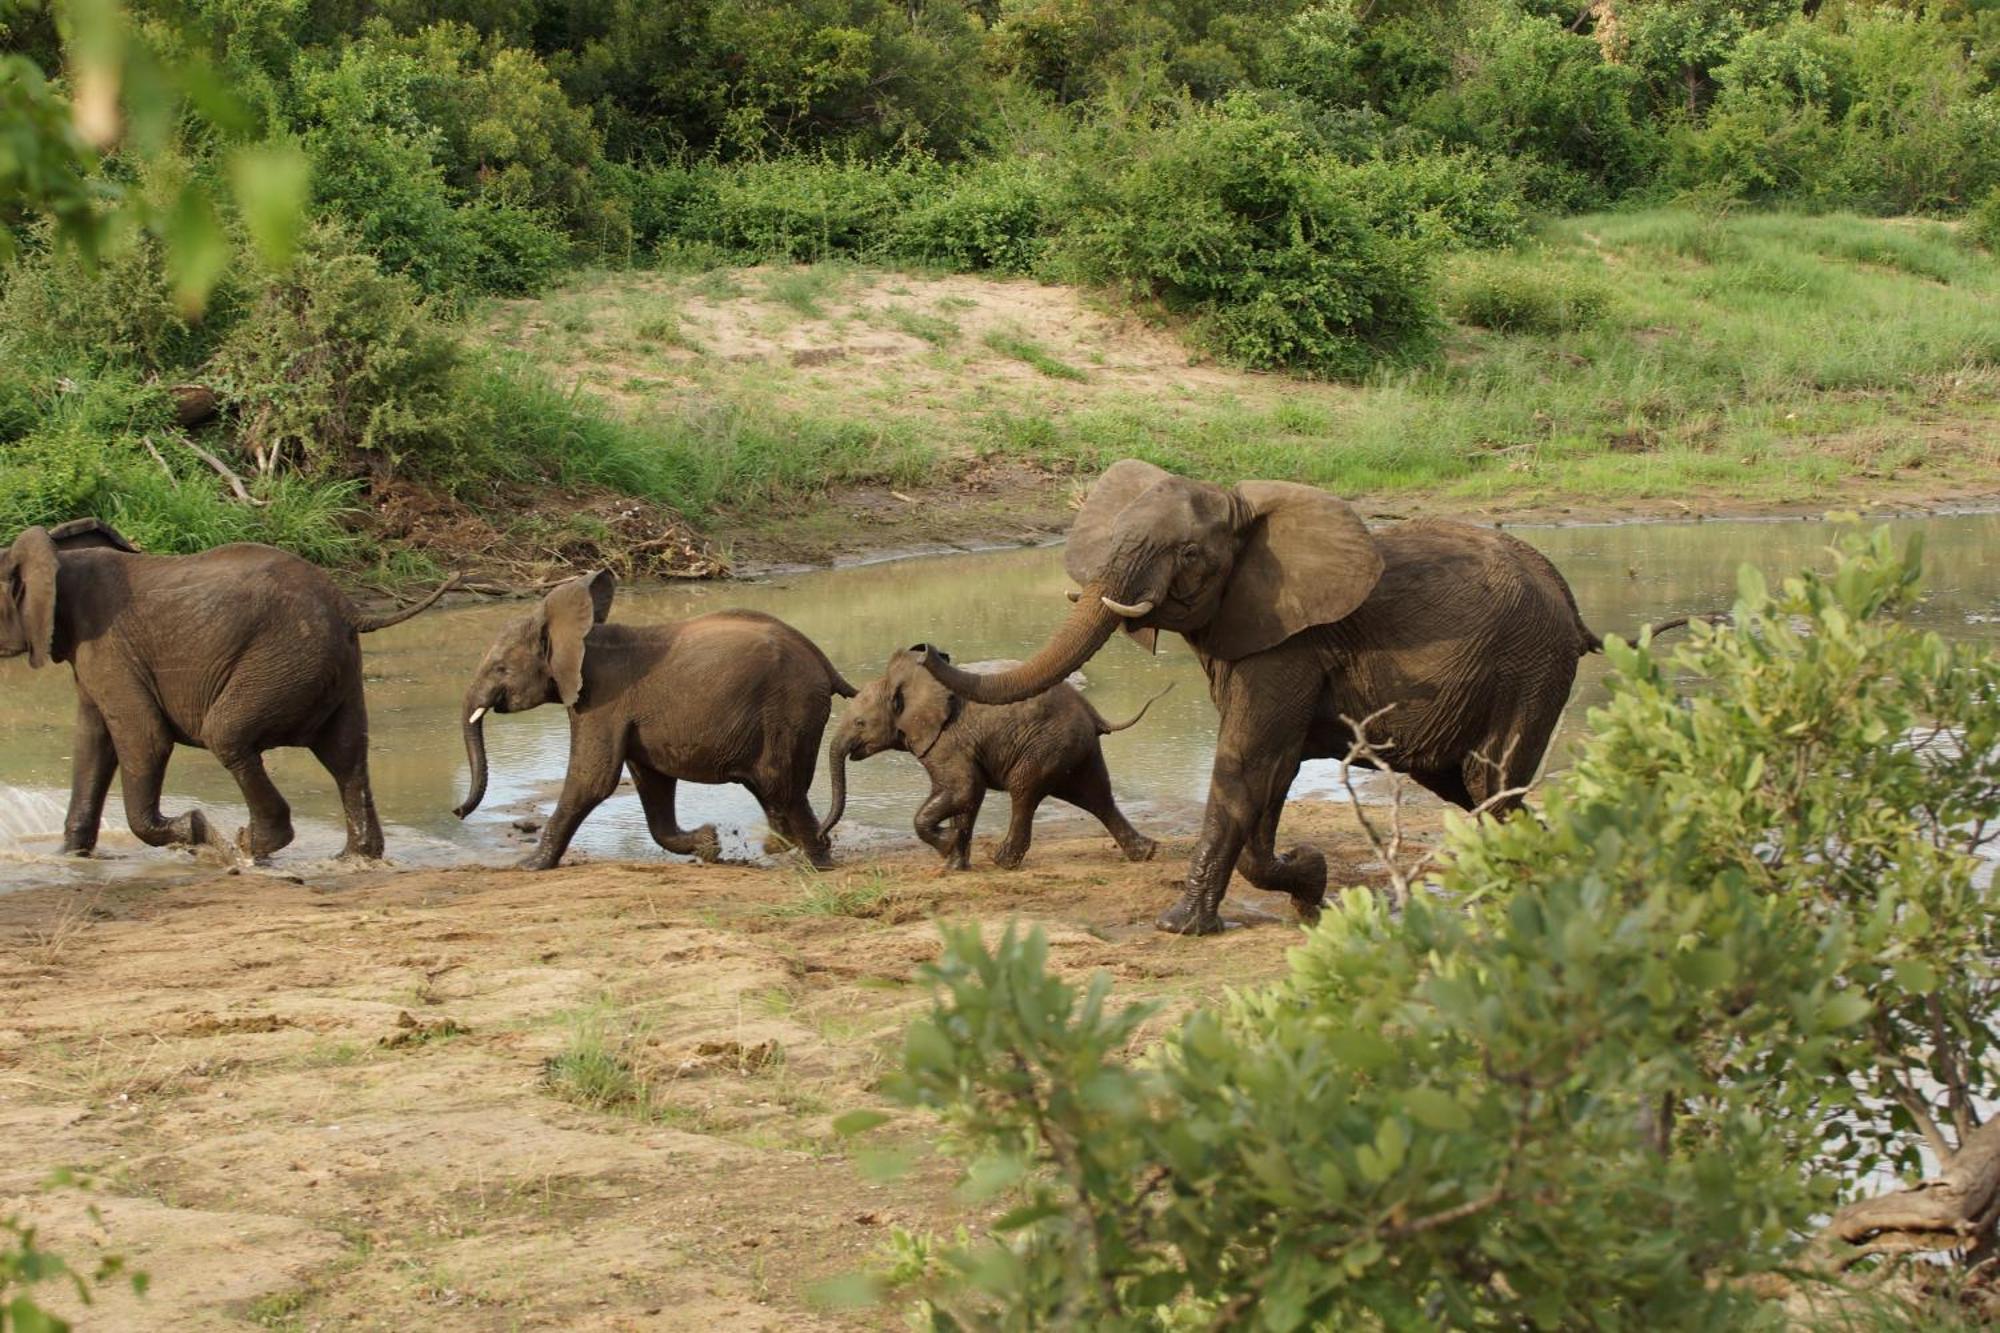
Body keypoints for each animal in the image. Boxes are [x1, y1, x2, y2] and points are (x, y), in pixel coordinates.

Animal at [1, 512, 456, 856]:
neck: (60, 558)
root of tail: (349, 607)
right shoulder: (94, 659)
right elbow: (92, 744)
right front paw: (70, 857)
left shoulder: (110, 650)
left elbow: (144, 739)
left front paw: (195, 831)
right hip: (331, 668)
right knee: (346, 754)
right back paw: (353, 857)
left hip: (283, 659)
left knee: (227, 735)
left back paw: (250, 845)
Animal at [450, 572, 856, 872]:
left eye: (500, 668)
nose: (457, 811)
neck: (580, 634)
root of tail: (823, 662)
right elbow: (651, 780)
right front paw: (709, 843)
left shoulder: (602, 702)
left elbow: (591, 779)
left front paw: (527, 866)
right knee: (771, 786)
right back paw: (780, 847)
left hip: (789, 708)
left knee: (779, 781)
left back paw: (816, 863)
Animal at [816, 644, 1168, 872]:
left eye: (860, 723)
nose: (823, 838)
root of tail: (1094, 713)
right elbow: (964, 799)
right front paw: (955, 865)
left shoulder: (947, 741)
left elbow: (964, 790)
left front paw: (948, 847)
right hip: (1077, 749)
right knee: (1097, 796)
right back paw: (1146, 853)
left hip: (1045, 745)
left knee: (1025, 792)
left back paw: (1001, 860)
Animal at [920, 460, 1688, 932]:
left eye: (1190, 556)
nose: (929, 648)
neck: (1248, 519)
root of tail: (1574, 607)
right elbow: (1273, 772)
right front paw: (1310, 889)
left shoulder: (1286, 644)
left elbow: (1246, 763)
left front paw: (1182, 926)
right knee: (1476, 788)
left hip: (1530, 665)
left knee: (1489, 782)